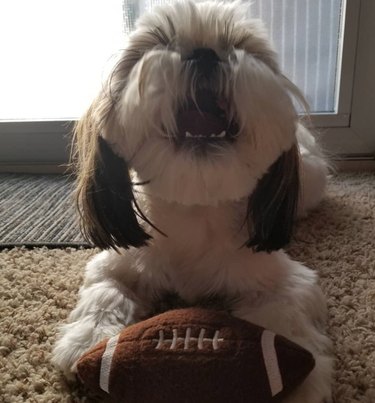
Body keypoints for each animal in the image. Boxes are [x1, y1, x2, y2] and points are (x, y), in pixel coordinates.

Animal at [52, 1, 332, 402]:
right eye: (160, 41)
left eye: (238, 45)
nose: (205, 53)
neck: (196, 210)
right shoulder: (121, 261)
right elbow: (105, 290)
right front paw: (86, 339)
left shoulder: (283, 277)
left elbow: (288, 315)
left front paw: (301, 381)